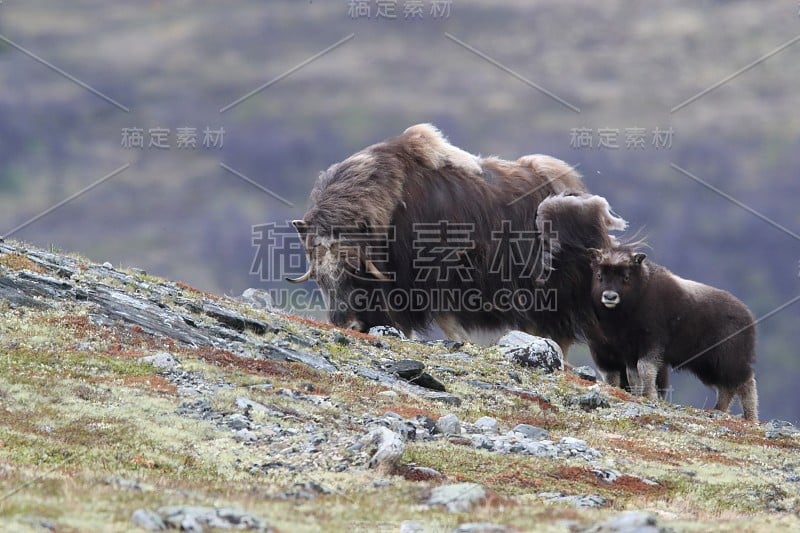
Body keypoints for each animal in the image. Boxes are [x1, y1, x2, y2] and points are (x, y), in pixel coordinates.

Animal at [288, 123, 624, 354]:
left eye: (356, 271)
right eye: (319, 278)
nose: (346, 325)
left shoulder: (433, 283)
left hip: (557, 294)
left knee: (559, 334)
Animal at [584, 245, 760, 420]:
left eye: (626, 277)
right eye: (599, 275)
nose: (609, 297)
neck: (639, 295)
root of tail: (749, 317)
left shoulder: (651, 342)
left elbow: (645, 368)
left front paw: (649, 396)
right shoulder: (629, 351)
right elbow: (633, 375)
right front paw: (638, 395)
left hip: (730, 360)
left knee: (745, 383)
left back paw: (750, 418)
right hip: (708, 365)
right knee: (726, 387)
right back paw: (718, 409)